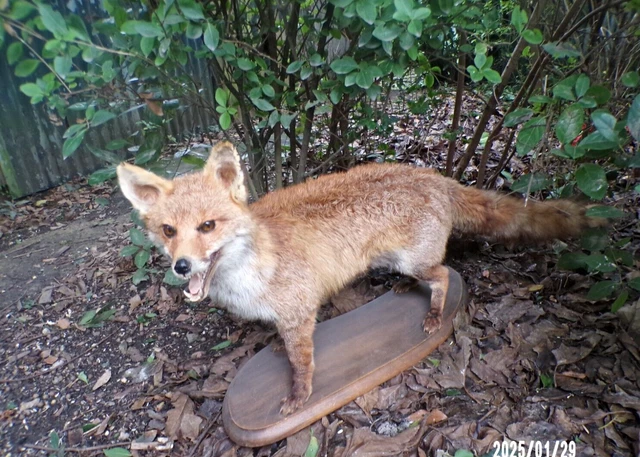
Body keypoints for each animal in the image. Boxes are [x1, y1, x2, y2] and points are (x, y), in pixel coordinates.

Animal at [116, 141, 604, 415]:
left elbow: (302, 364)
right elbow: (284, 345)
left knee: (444, 275)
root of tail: (433, 176)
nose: (181, 266)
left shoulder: (300, 312)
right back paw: (406, 291)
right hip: (395, 259)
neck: (255, 265)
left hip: (416, 260)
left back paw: (434, 314)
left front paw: (300, 396)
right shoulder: (286, 315)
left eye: (207, 227)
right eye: (168, 231)